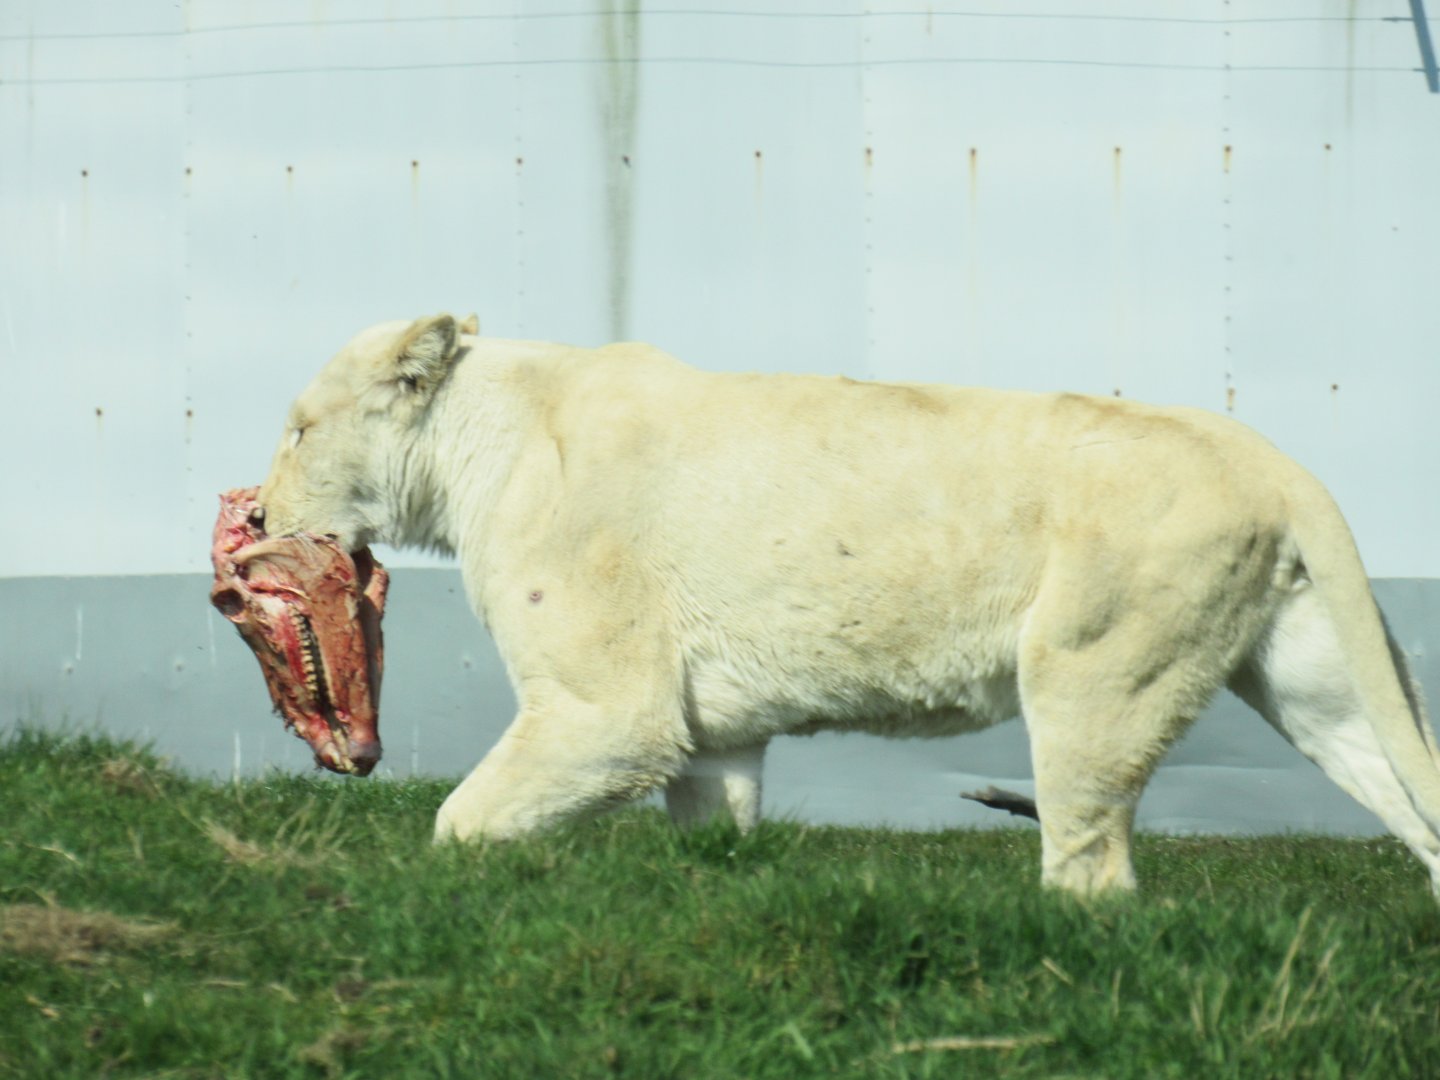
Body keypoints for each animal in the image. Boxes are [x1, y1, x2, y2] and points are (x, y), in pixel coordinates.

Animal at [255, 313, 1440, 898]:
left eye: (301, 429)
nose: (256, 512)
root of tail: (1277, 460)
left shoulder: (607, 709)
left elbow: (463, 821)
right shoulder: (708, 734)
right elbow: (713, 834)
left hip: (1094, 667)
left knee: (1094, 861)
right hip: (1315, 676)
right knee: (1406, 793)